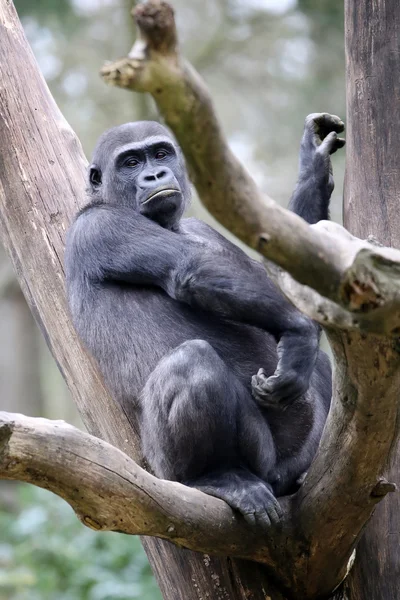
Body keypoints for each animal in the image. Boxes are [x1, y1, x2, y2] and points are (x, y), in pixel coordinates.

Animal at [65, 115, 344, 528]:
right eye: (130, 162)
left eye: (160, 153)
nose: (155, 174)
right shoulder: (102, 227)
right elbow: (190, 268)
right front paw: (300, 334)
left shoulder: (202, 229)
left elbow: (287, 280)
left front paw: (313, 166)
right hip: (187, 467)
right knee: (192, 363)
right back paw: (217, 477)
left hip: (294, 462)